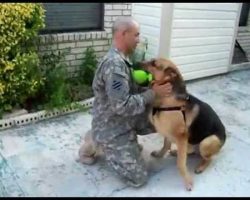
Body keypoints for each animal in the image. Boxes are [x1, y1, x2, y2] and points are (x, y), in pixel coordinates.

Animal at [141, 57, 227, 191]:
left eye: (154, 63)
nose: (137, 62)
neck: (167, 100)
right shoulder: (168, 133)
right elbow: (165, 146)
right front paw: (160, 154)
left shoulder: (181, 137)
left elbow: (181, 164)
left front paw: (187, 181)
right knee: (190, 151)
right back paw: (177, 152)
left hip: (207, 142)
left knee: (209, 158)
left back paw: (200, 167)